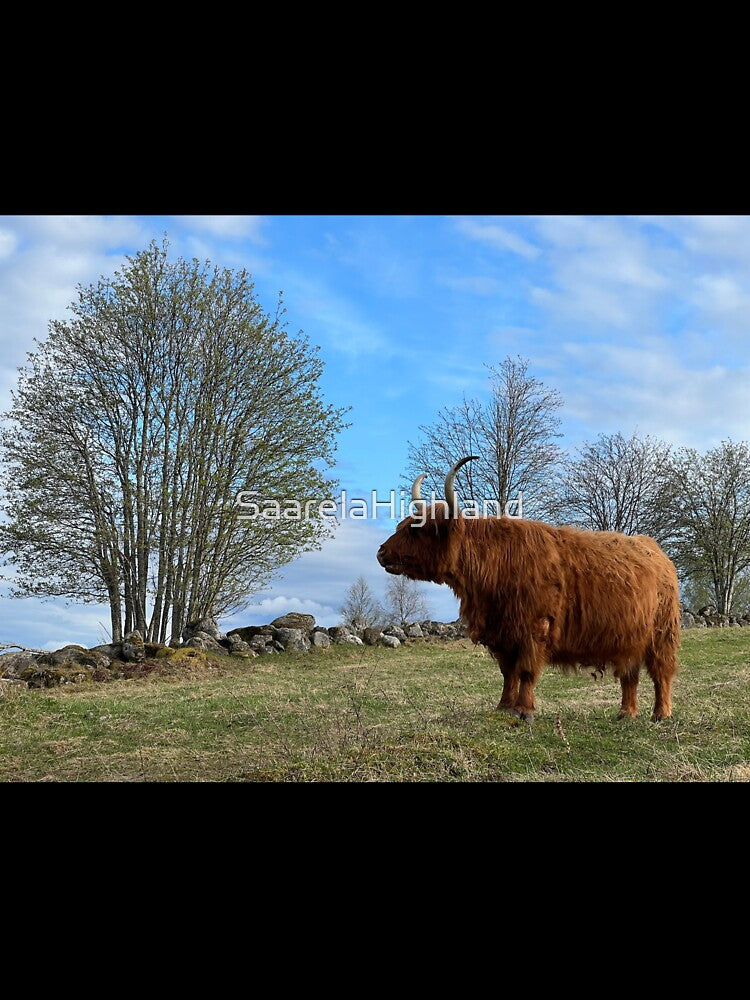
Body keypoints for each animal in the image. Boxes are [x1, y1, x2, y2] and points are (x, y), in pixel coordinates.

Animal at [376, 456, 681, 722]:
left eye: (416, 529)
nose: (381, 552)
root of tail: (656, 552)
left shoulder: (534, 629)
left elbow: (525, 671)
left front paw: (525, 710)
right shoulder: (502, 633)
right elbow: (508, 673)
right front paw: (504, 707)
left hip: (662, 634)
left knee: (661, 673)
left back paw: (661, 714)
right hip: (630, 638)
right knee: (630, 675)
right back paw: (625, 714)